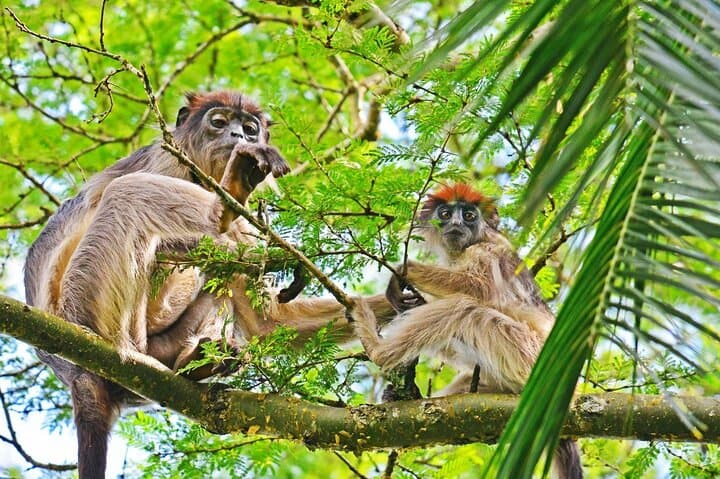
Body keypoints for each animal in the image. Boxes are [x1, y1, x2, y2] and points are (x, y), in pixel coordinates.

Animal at [24, 90, 395, 478]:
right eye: (219, 122)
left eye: (250, 128)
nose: (239, 136)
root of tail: (75, 372)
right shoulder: (166, 160)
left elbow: (268, 324)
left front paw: (400, 297)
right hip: (86, 303)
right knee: (130, 193)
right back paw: (224, 206)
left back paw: (197, 362)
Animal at [352, 183, 583, 479]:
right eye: (445, 213)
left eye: (469, 215)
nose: (457, 223)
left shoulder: (487, 249)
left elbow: (478, 288)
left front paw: (405, 270)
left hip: (529, 355)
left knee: (462, 307)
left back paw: (377, 349)